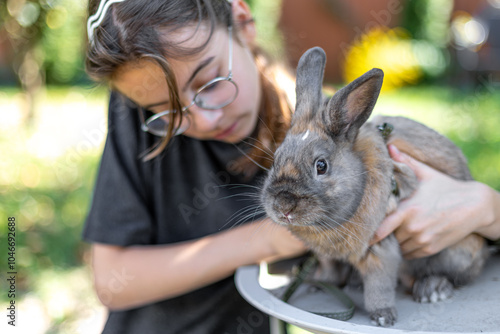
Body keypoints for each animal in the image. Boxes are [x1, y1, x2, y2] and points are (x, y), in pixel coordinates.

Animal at [262, 47, 488, 326]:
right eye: (275, 160)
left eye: (321, 166)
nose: (283, 206)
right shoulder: (326, 255)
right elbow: (330, 271)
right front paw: (315, 283)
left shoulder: (380, 247)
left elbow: (379, 285)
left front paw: (383, 316)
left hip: (461, 249)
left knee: (458, 274)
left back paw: (433, 289)